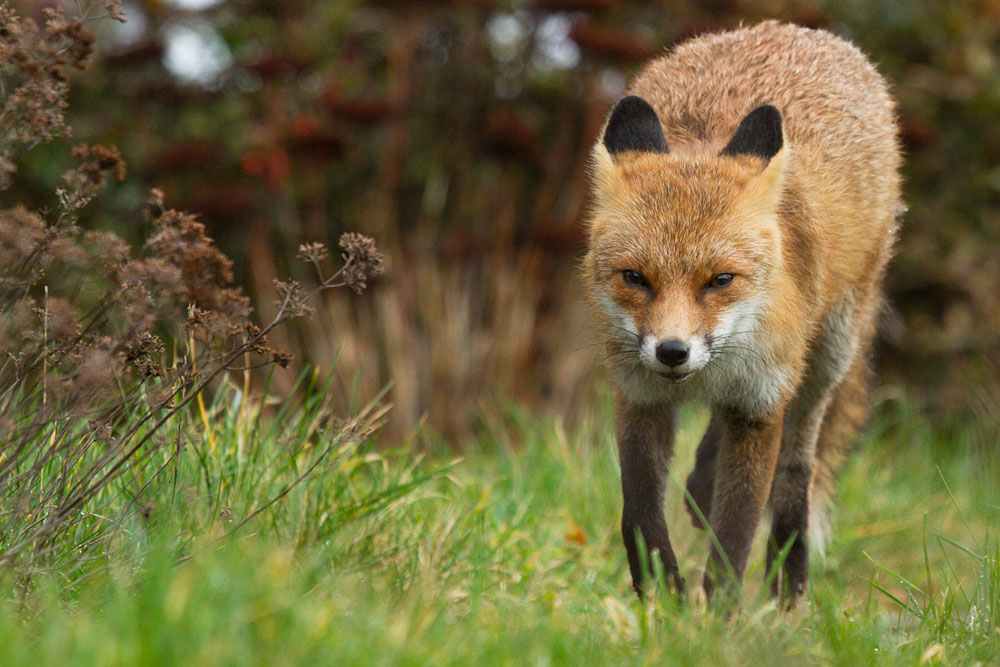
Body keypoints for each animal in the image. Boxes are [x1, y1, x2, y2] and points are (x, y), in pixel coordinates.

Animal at [584, 21, 901, 604]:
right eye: (635, 278)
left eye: (720, 280)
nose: (672, 352)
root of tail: (802, 31)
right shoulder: (639, 394)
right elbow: (639, 514)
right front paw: (660, 595)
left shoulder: (761, 405)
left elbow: (735, 536)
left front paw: (715, 619)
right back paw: (702, 488)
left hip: (829, 354)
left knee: (799, 464)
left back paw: (789, 575)